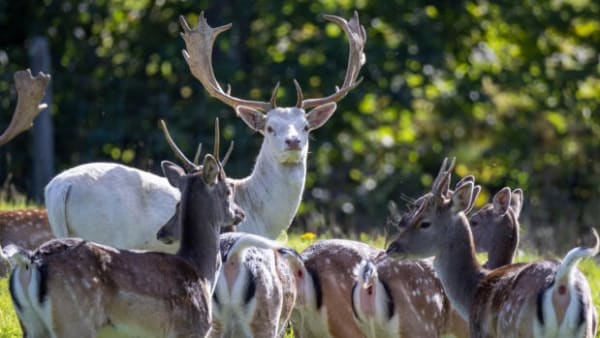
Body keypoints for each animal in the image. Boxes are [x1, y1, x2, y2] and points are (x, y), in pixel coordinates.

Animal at [4, 120, 244, 336]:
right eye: (228, 190)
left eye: (179, 204)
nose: (240, 213)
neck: (201, 273)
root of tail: (30, 261)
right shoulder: (188, 330)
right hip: (74, 321)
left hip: (31, 324)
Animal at [386, 159, 596, 338]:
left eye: (425, 223)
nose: (391, 247)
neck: (473, 290)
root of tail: (562, 283)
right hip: (587, 330)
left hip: (517, 328)